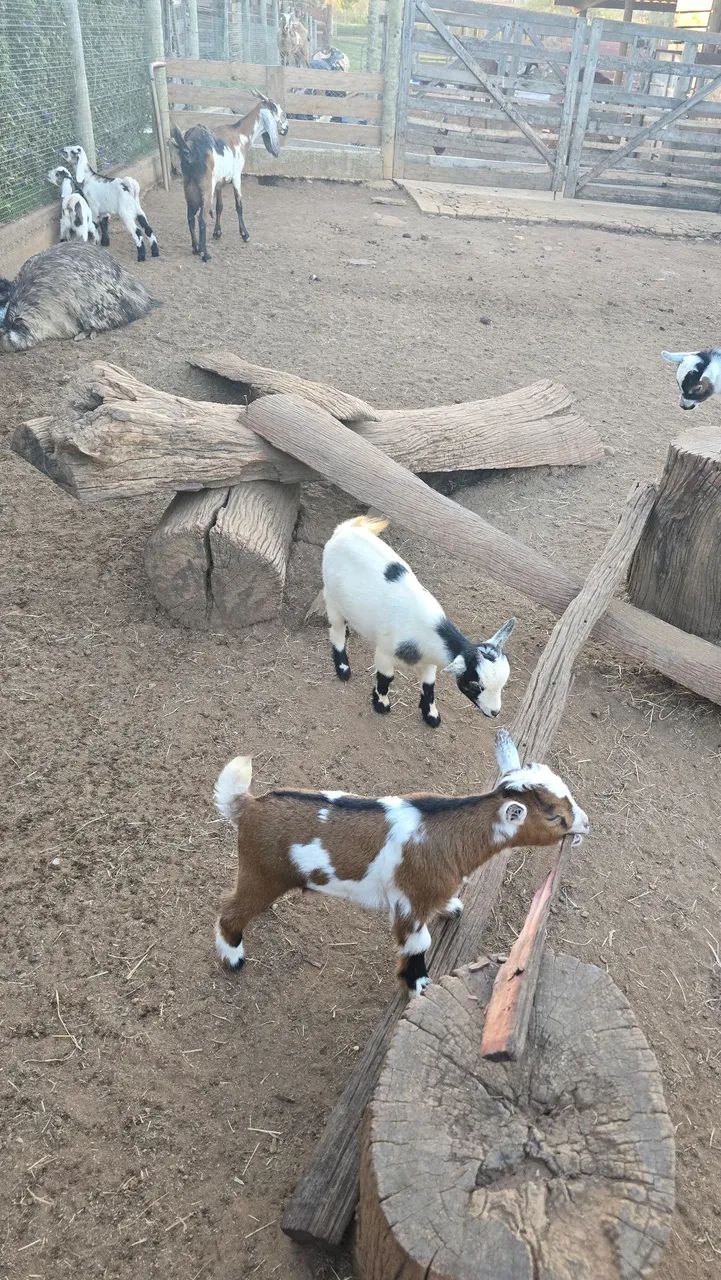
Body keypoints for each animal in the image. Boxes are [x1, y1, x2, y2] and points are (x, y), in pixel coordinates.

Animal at [171, 94, 288, 263]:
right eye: (281, 113)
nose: (286, 128)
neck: (240, 135)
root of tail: (189, 148)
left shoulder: (220, 182)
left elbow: (220, 207)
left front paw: (217, 233)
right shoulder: (237, 175)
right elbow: (239, 205)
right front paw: (245, 234)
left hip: (189, 186)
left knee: (190, 217)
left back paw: (195, 248)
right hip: (206, 188)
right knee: (201, 219)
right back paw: (205, 254)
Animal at [213, 729, 590, 993]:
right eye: (555, 817)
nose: (585, 823)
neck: (447, 834)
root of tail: (247, 806)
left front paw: (451, 908)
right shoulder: (411, 903)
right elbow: (416, 945)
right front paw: (418, 984)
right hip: (261, 873)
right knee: (230, 911)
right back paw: (234, 958)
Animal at [321, 516, 515, 727]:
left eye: (503, 684)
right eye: (474, 685)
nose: (495, 712)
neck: (428, 630)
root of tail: (344, 529)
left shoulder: (430, 661)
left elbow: (429, 686)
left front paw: (430, 715)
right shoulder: (385, 652)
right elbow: (386, 678)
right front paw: (381, 704)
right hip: (331, 595)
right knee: (336, 630)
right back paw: (343, 668)